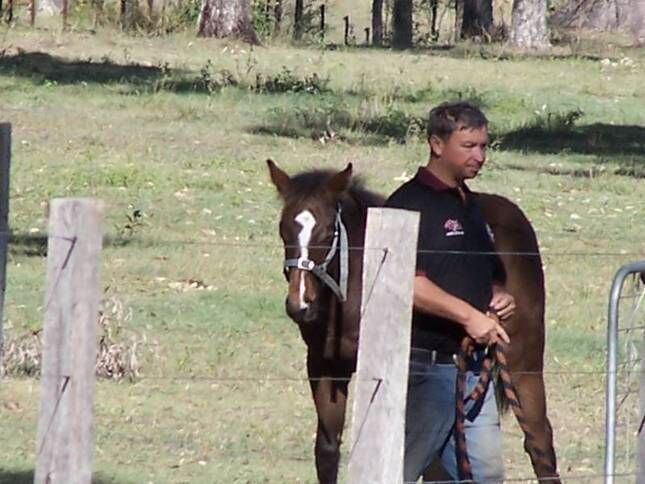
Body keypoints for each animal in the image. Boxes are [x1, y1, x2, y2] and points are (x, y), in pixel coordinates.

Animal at [266, 161, 560, 482]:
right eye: (283, 229)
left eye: (328, 231)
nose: (300, 304)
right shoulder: (324, 366)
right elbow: (328, 450)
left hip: (523, 360)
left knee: (539, 440)